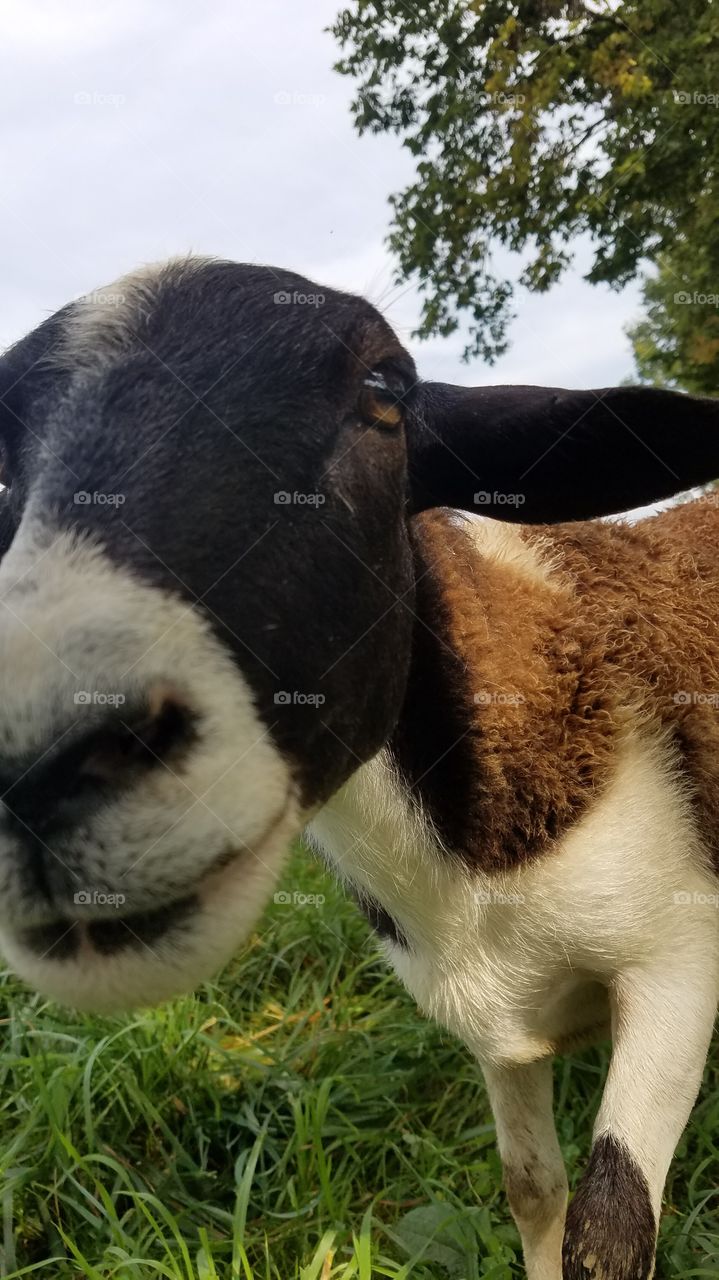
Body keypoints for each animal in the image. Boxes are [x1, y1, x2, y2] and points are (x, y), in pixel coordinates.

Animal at [0, 256, 719, 1280]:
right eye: (5, 459)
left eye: (386, 390)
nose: (35, 770)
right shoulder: (497, 1027)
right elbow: (532, 1192)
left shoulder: (677, 961)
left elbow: (606, 1231)